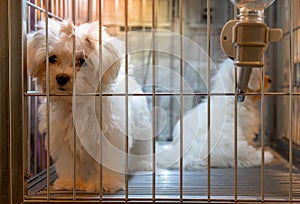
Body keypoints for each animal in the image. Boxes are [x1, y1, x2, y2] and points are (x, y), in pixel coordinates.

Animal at [27, 19, 152, 193]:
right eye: (52, 58)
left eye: (82, 61)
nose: (61, 77)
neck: (77, 103)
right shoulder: (64, 139)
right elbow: (69, 163)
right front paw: (69, 183)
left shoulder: (109, 137)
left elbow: (106, 162)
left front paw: (105, 184)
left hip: (142, 124)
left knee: (143, 146)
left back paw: (143, 164)